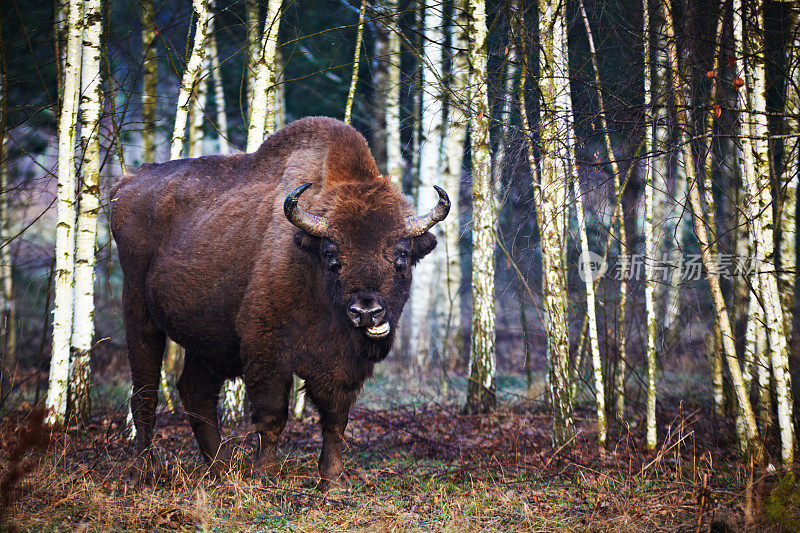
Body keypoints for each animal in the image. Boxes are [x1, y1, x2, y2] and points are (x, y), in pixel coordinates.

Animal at [111, 116, 450, 490]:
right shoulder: (267, 351)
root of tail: (126, 185)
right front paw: (264, 476)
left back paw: (220, 469)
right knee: (145, 394)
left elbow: (335, 419)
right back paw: (148, 471)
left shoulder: (343, 366)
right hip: (139, 313)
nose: (366, 311)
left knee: (195, 390)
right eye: (331, 254)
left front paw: (334, 480)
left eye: (402, 254)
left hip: (210, 339)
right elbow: (272, 415)